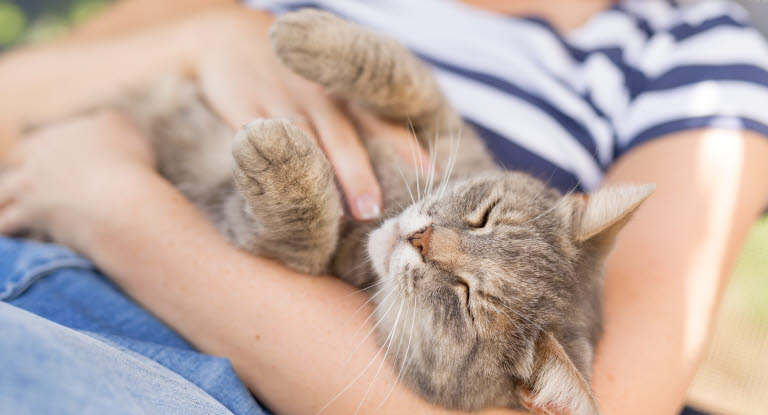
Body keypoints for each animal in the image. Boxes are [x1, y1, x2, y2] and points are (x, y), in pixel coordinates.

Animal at [112, 9, 656, 415]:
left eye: (467, 301)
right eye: (485, 215)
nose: (421, 238)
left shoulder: (278, 246)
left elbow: (299, 235)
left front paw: (282, 161)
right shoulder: (445, 129)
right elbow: (408, 78)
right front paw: (307, 35)